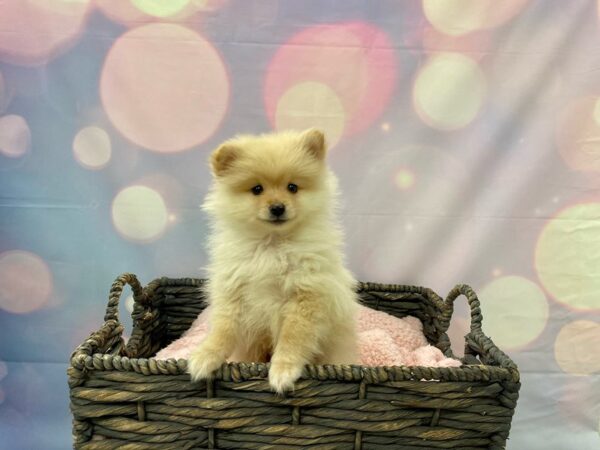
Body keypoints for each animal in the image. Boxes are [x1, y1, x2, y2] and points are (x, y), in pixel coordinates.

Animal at [188, 128, 356, 392]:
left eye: (292, 187)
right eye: (257, 189)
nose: (277, 207)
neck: (272, 245)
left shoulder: (305, 295)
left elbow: (292, 338)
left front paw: (283, 371)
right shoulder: (233, 291)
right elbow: (223, 329)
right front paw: (205, 355)